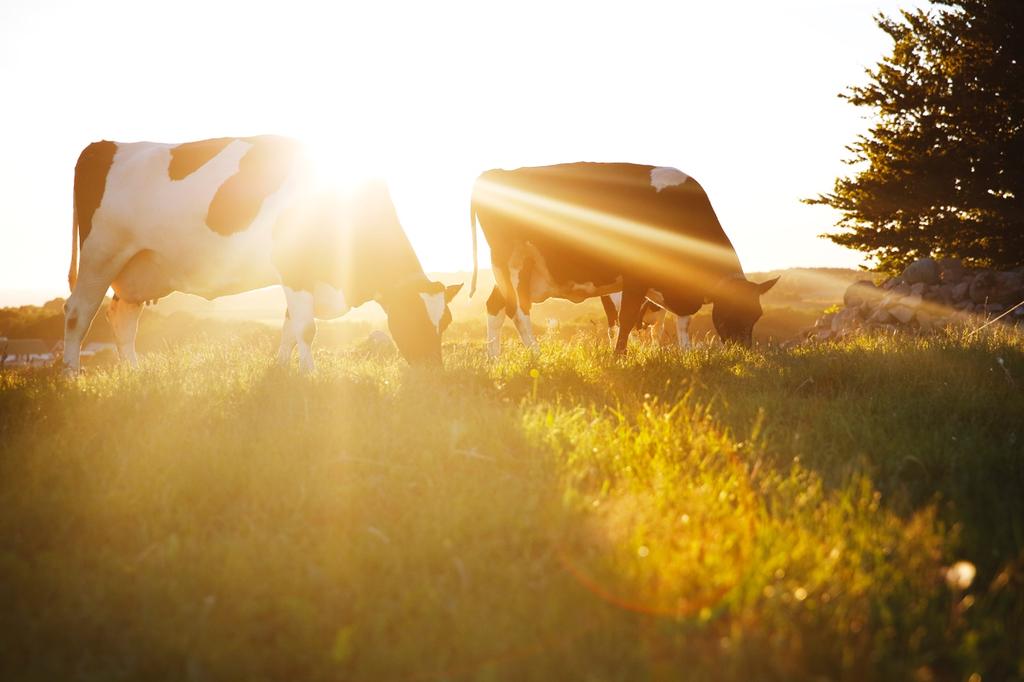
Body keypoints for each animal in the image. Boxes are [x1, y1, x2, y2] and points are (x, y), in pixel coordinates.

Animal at [65, 134, 460, 372]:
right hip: (101, 254)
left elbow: (288, 326)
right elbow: (306, 328)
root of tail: (105, 145)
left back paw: (133, 372)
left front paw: (284, 371)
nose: (433, 371)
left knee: (122, 318)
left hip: (137, 268)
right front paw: (310, 374)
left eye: (446, 323)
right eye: (411, 316)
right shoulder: (295, 266)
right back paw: (71, 373)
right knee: (77, 312)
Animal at [468, 163, 774, 356]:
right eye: (732, 313)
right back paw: (536, 356)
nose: (743, 350)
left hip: (517, 270)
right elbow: (627, 318)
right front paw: (620, 357)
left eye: (757, 315)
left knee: (495, 305)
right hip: (512, 261)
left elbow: (678, 323)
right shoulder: (636, 277)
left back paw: (494, 360)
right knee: (517, 309)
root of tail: (495, 174)